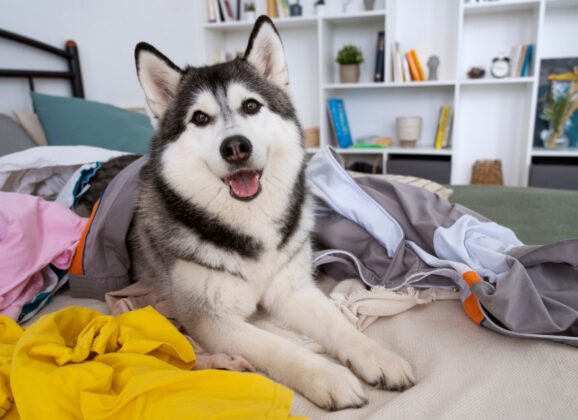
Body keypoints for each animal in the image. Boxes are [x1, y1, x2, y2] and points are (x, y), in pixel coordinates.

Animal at [94, 16, 414, 410]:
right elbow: (277, 347)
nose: (235, 147)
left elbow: (340, 326)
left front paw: (378, 356)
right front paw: (328, 376)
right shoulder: (211, 319)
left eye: (250, 106)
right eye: (200, 117)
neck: (250, 223)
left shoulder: (293, 290)